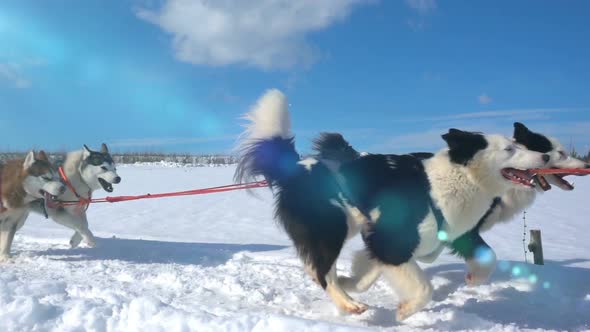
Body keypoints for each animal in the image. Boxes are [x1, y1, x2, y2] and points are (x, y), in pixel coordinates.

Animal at [236, 89, 552, 320]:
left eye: (519, 144)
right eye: (510, 149)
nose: (546, 157)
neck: (454, 179)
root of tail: (296, 167)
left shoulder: (420, 237)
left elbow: (488, 257)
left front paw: (474, 279)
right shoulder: (392, 240)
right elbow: (424, 287)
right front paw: (404, 311)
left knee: (321, 271)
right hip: (331, 227)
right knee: (321, 272)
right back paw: (349, 305)